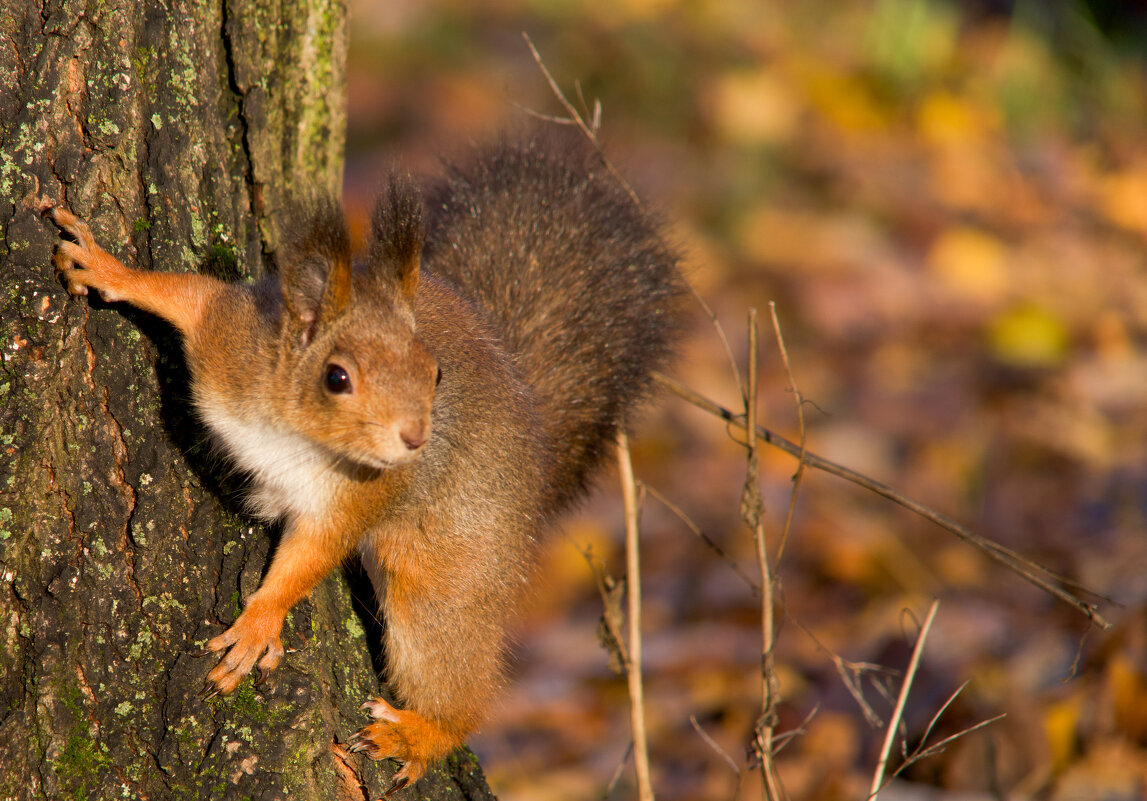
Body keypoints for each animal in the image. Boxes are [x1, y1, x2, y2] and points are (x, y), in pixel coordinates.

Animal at [47, 130, 679, 784]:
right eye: (336, 377)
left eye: (435, 373)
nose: (416, 439)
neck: (296, 434)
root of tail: (538, 463)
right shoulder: (231, 347)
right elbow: (190, 296)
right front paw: (108, 267)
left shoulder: (362, 493)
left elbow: (315, 553)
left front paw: (260, 621)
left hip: (454, 566)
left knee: (451, 663)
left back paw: (420, 734)